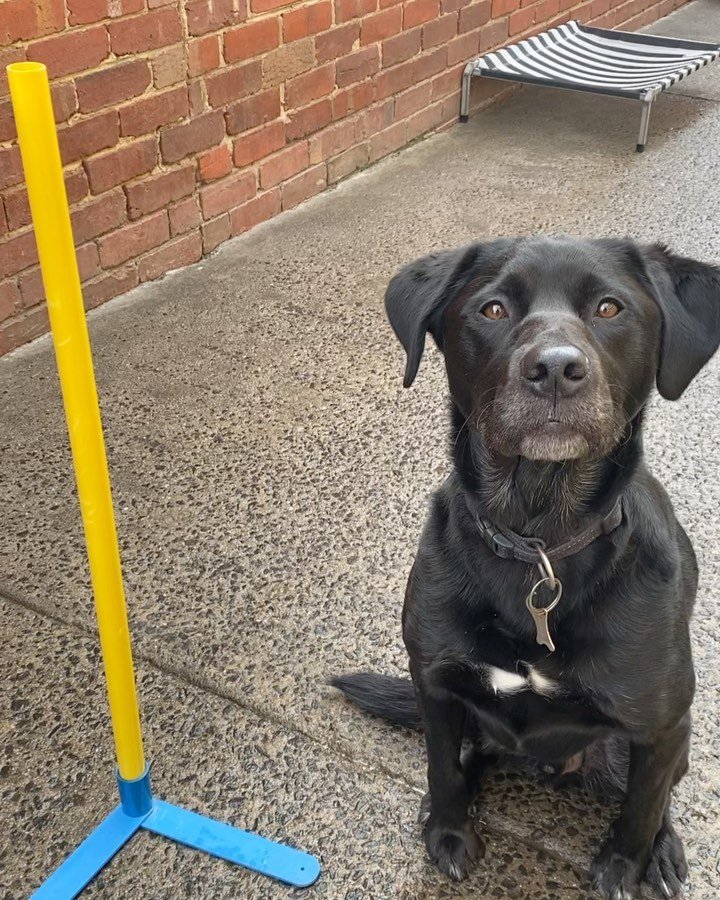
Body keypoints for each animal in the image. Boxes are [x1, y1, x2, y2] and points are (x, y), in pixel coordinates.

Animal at [336, 239, 720, 900]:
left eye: (609, 307)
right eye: (492, 308)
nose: (556, 369)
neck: (539, 538)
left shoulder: (661, 722)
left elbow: (641, 809)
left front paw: (625, 867)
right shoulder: (436, 682)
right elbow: (440, 767)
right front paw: (449, 831)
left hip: (657, 741)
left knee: (658, 792)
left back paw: (663, 852)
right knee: (471, 757)